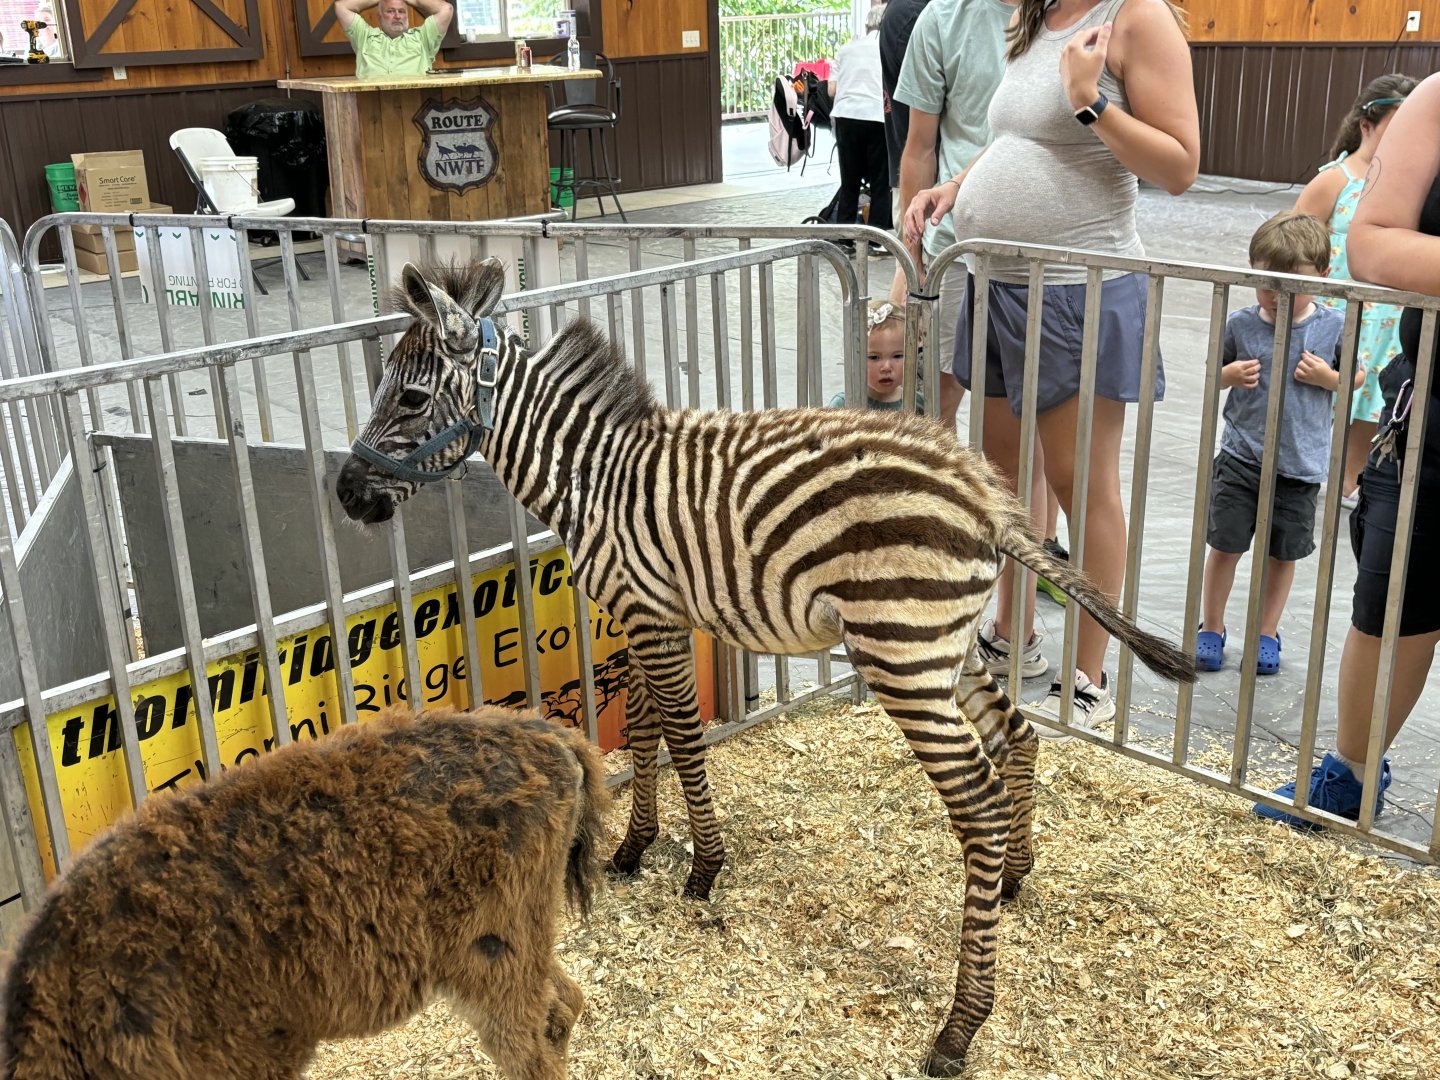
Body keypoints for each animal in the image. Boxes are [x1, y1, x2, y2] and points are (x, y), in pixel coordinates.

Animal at [335, 259, 1196, 1076]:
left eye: (410, 397)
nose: (344, 494)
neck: (596, 480)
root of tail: (985, 498)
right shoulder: (647, 614)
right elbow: (643, 732)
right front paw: (633, 849)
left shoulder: (653, 617)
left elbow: (684, 737)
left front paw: (704, 867)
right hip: (939, 650)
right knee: (1017, 734)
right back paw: (1015, 879)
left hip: (902, 654)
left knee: (975, 799)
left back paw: (960, 1025)